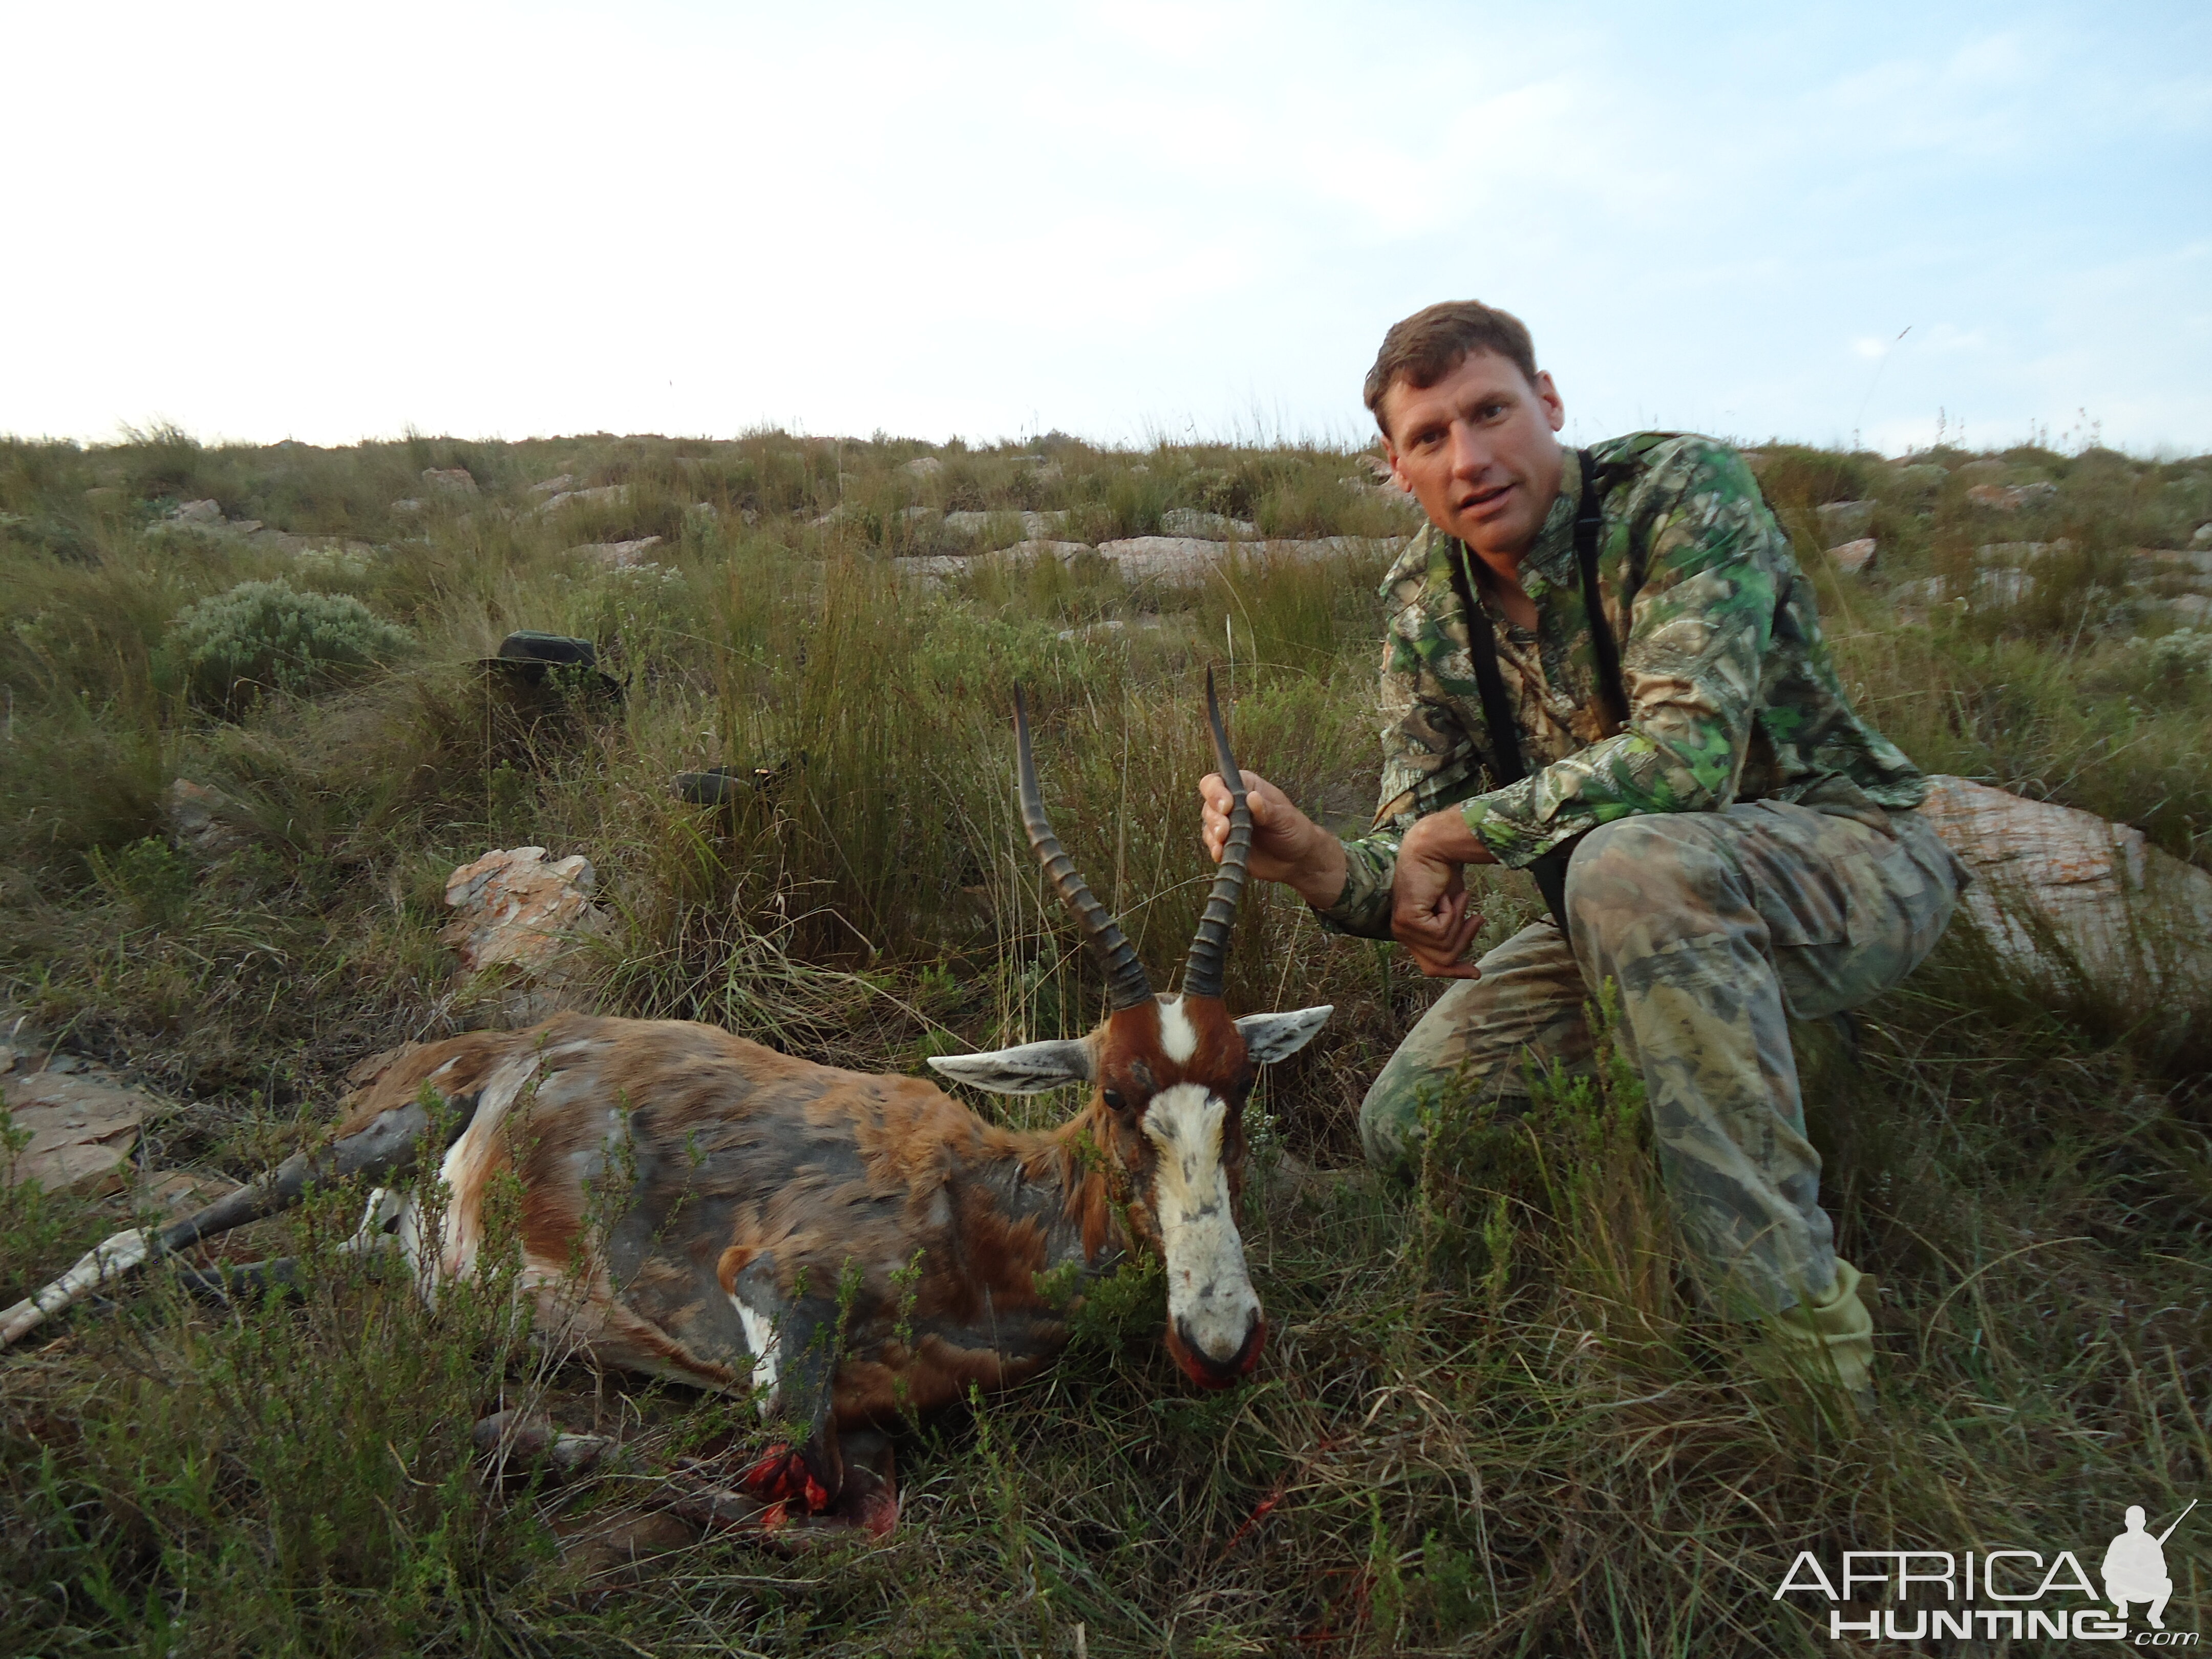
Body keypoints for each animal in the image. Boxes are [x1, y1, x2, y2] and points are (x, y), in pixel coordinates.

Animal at [0, 676, 1327, 1530]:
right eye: (1112, 1094)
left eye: (1239, 1087)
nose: (1221, 1337)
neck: (976, 1200)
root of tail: (510, 1039)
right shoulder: (776, 1291)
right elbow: (806, 1495)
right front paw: (521, 1436)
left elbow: (847, 1492)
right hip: (367, 1140)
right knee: (134, 1238)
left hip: (381, 1254)